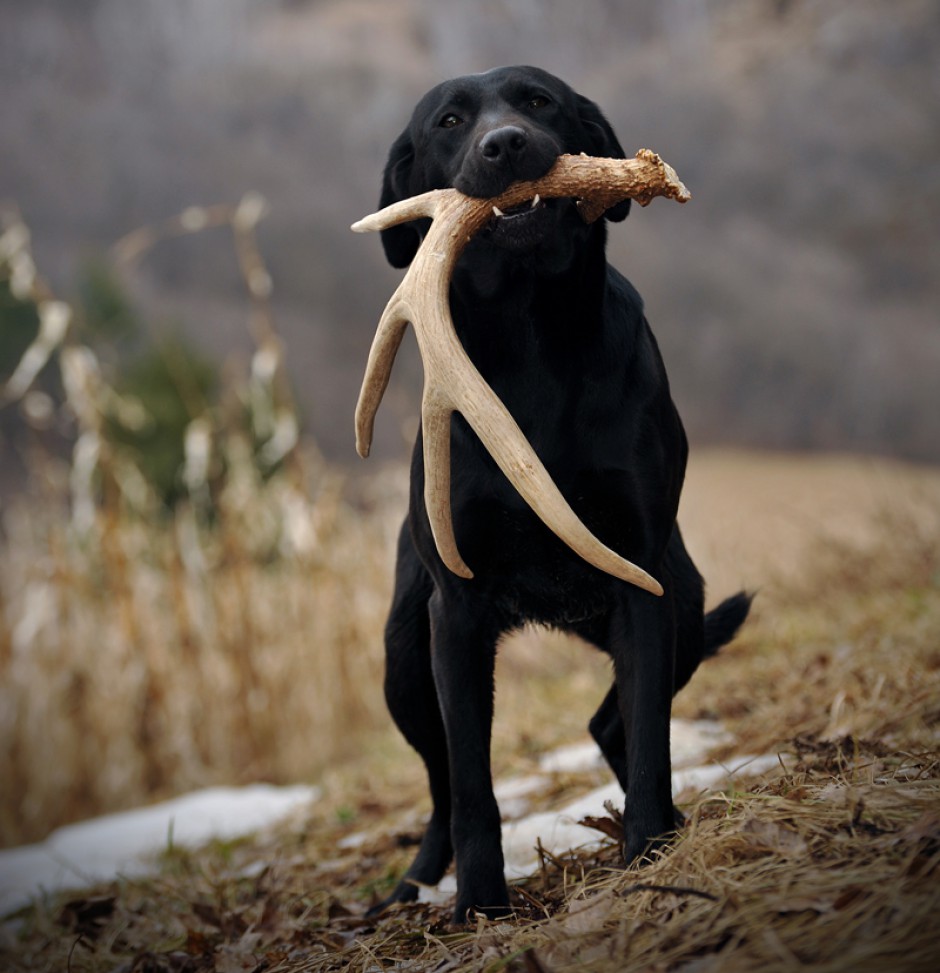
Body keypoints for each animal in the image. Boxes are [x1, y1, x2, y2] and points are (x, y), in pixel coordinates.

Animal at [368, 66, 748, 920]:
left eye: (538, 100)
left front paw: (650, 848)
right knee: (440, 785)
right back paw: (412, 887)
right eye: (449, 121)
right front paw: (480, 905)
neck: (532, 333)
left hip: (684, 601)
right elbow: (472, 786)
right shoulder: (457, 608)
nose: (505, 145)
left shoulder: (641, 574)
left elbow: (649, 738)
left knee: (613, 721)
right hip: (405, 661)